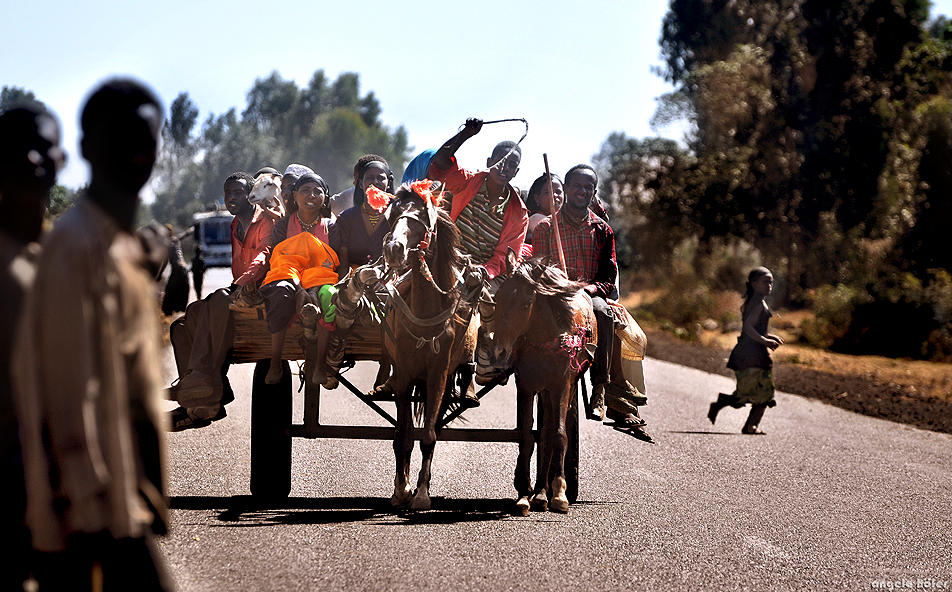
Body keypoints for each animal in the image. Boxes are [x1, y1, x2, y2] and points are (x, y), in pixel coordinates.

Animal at [382, 182, 480, 508]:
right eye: (394, 215)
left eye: (422, 218)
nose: (394, 248)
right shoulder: (404, 373)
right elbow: (403, 437)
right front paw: (401, 490)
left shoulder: (438, 373)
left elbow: (428, 436)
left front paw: (422, 493)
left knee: (432, 426)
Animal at [494, 250, 592, 512]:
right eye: (498, 297)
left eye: (527, 303)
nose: (499, 351)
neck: (545, 341)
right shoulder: (526, 386)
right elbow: (527, 436)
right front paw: (524, 493)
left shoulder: (561, 386)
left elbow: (559, 435)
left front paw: (559, 493)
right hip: (544, 391)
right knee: (544, 433)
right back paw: (539, 492)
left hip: (564, 388)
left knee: (552, 431)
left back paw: (546, 492)